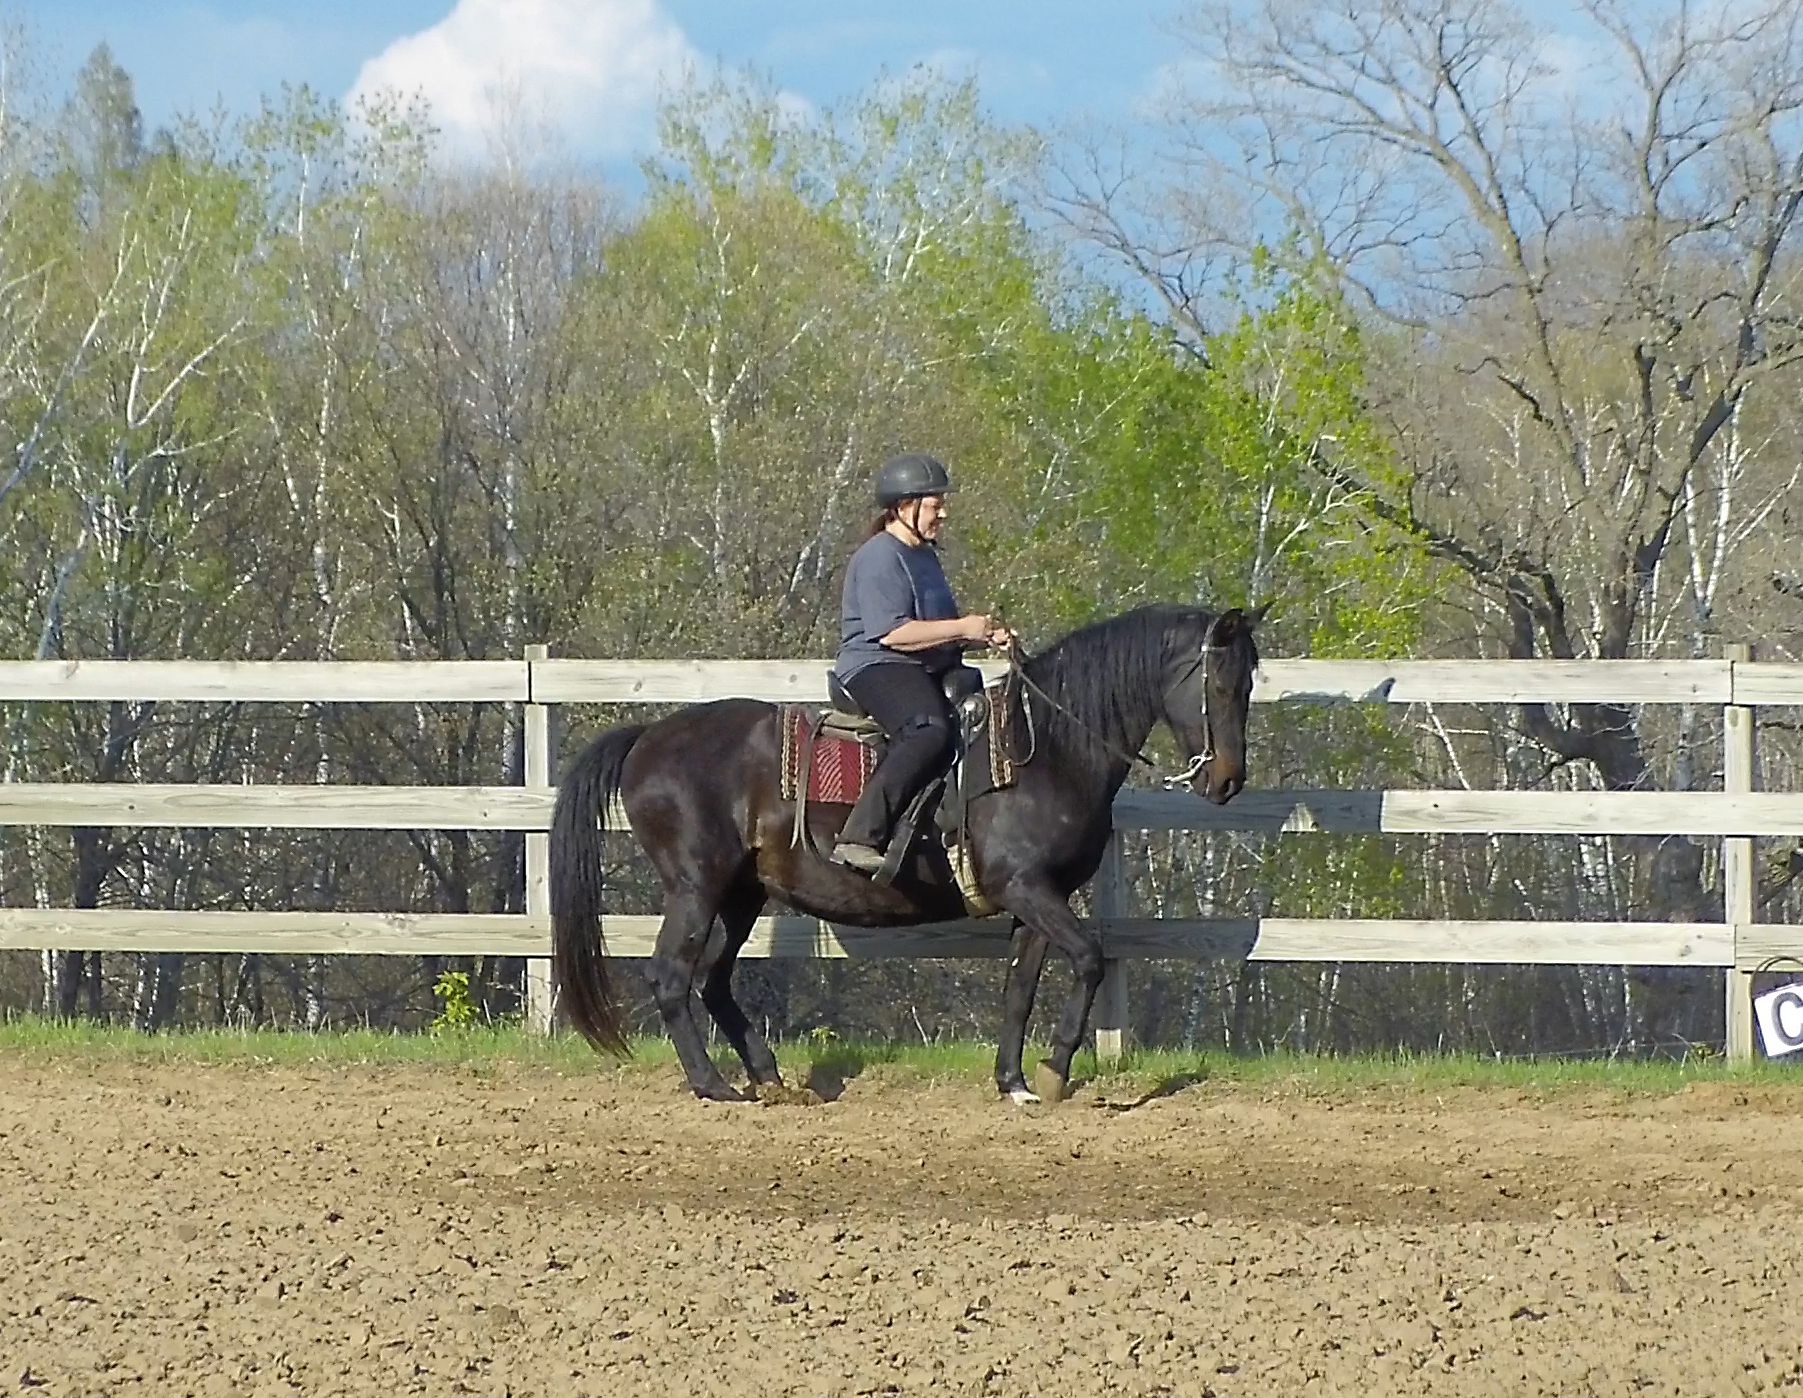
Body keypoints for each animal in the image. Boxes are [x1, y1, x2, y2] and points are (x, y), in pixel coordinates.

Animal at [548, 602, 1263, 1103]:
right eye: (1219, 684)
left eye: (1250, 683)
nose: (1228, 780)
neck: (1044, 750)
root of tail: (649, 736)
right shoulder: (1028, 888)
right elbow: (1088, 959)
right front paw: (1056, 1071)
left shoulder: (1036, 899)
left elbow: (1019, 988)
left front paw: (1015, 1082)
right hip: (696, 888)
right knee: (671, 977)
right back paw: (713, 1085)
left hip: (741, 895)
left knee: (715, 979)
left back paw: (770, 1078)